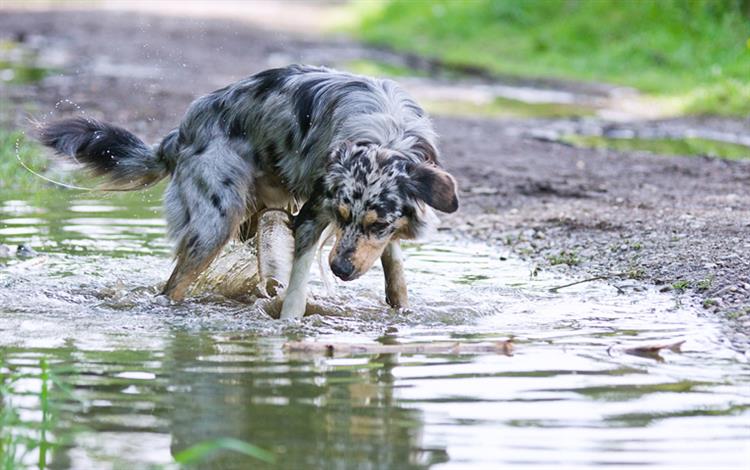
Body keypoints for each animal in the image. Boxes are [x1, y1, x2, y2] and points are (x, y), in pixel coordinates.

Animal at [42, 64, 464, 320]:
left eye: (378, 224)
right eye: (342, 215)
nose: (340, 270)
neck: (385, 135)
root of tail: (181, 132)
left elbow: (393, 262)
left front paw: (401, 308)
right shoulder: (313, 214)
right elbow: (296, 289)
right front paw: (289, 328)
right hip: (214, 225)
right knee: (174, 286)